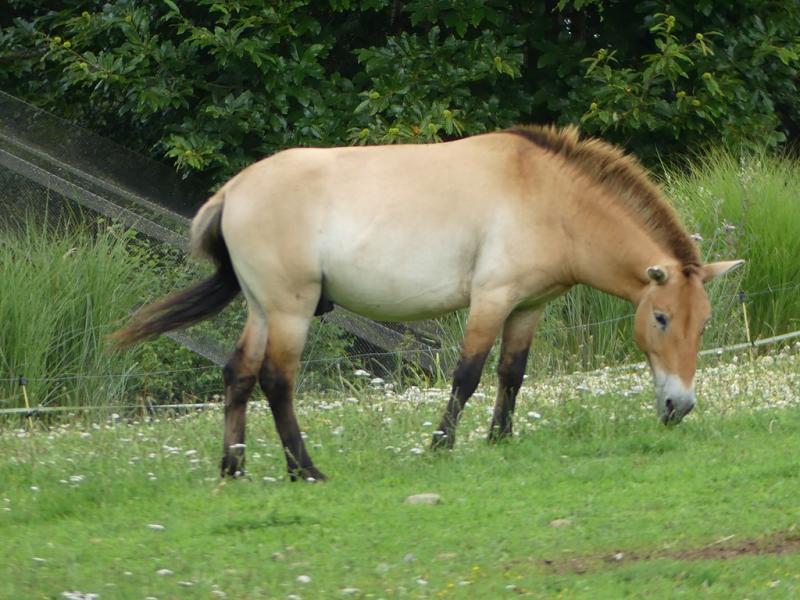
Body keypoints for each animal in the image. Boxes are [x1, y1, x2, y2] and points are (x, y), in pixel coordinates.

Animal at [113, 125, 743, 481]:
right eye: (660, 317)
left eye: (704, 324)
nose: (679, 406)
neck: (548, 197)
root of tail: (234, 190)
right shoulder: (491, 299)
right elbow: (468, 374)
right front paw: (442, 445)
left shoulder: (528, 307)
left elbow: (512, 373)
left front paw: (500, 439)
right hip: (290, 311)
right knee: (276, 381)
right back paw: (305, 471)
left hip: (263, 309)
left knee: (239, 374)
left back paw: (234, 468)